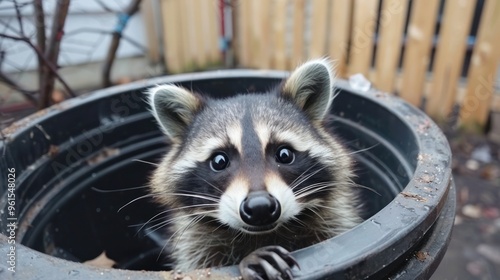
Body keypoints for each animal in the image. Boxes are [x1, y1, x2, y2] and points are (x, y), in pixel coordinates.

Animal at [146, 59, 362, 280]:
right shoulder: (195, 244)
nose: (260, 207)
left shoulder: (335, 219)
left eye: (284, 154)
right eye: (219, 161)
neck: (264, 235)